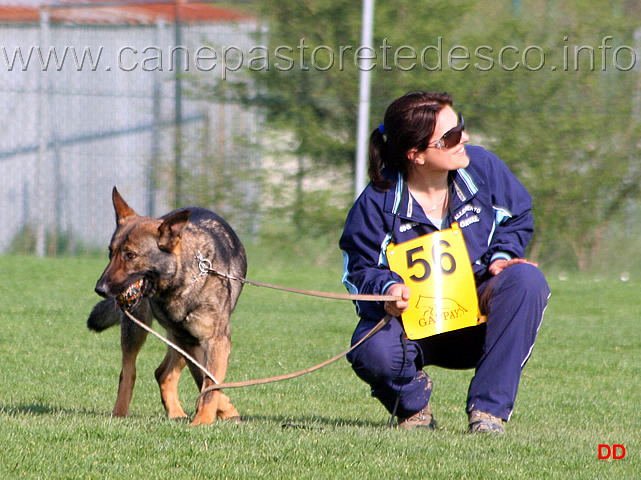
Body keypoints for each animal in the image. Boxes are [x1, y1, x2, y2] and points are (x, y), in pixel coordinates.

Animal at [90, 187, 248, 424]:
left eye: (130, 255)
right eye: (111, 253)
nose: (100, 289)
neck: (181, 282)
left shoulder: (214, 340)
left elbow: (210, 384)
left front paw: (203, 420)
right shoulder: (190, 342)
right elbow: (205, 381)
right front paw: (215, 413)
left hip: (177, 340)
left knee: (163, 373)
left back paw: (176, 413)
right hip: (139, 329)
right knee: (130, 370)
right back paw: (120, 412)